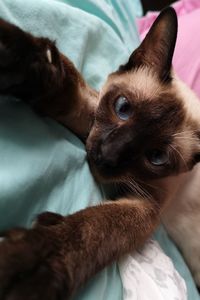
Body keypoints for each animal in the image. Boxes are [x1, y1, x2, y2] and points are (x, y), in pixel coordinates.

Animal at [0, 7, 200, 300]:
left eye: (156, 157)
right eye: (123, 108)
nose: (107, 157)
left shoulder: (146, 204)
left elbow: (94, 226)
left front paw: (35, 259)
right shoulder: (92, 122)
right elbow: (63, 84)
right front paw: (13, 54)